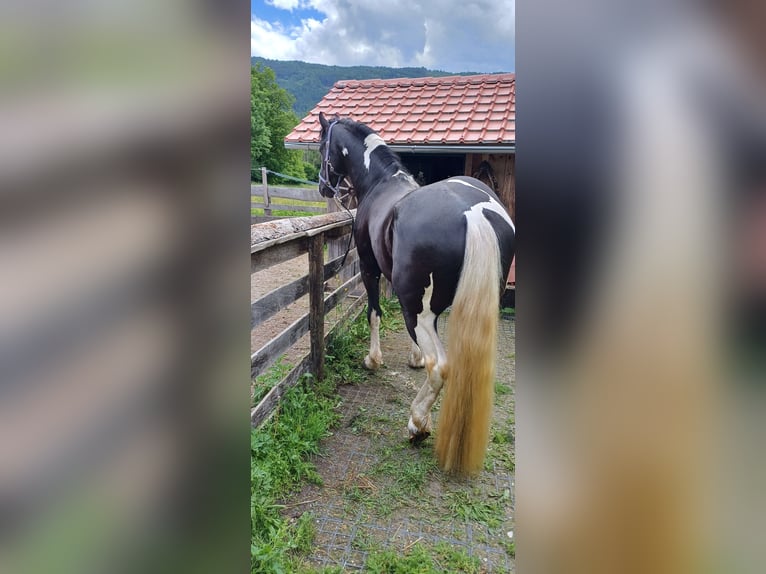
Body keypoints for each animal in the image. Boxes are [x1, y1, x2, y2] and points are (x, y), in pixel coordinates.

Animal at [318, 113, 516, 476]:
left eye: (322, 144)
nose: (324, 186)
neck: (381, 182)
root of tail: (474, 213)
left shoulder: (369, 267)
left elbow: (374, 312)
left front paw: (373, 359)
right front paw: (414, 358)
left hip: (422, 312)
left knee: (440, 367)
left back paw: (418, 424)